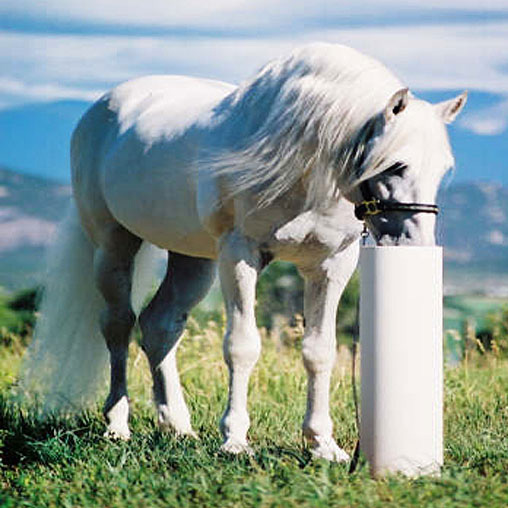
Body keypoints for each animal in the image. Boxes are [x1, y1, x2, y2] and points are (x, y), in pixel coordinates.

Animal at [21, 43, 466, 462]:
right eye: (396, 165)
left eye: (443, 169)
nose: (414, 246)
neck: (303, 164)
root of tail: (104, 107)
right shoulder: (240, 256)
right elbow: (242, 346)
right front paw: (235, 440)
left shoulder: (330, 265)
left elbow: (319, 352)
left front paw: (323, 444)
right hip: (114, 245)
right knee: (118, 324)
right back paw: (117, 424)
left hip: (193, 260)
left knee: (159, 325)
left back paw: (177, 426)